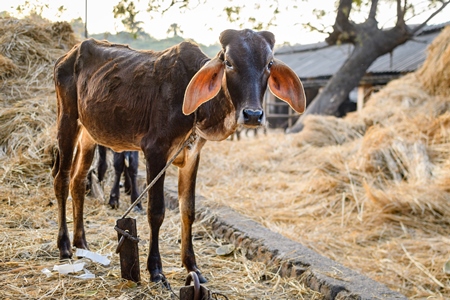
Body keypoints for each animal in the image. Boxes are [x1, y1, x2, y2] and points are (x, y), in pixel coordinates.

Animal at [51, 29, 306, 282]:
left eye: (269, 64)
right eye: (229, 62)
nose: (253, 114)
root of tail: (67, 56)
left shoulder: (192, 156)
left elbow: (188, 210)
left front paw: (192, 266)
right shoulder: (155, 151)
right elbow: (156, 212)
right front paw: (155, 269)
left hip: (88, 134)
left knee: (78, 180)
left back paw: (81, 242)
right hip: (67, 120)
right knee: (61, 179)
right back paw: (64, 246)